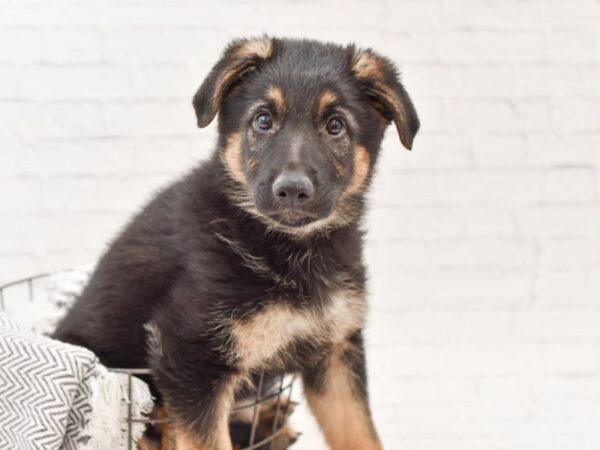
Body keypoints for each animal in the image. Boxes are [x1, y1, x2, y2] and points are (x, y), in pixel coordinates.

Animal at [54, 36, 420, 450]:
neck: (287, 249)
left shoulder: (335, 351)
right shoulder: (189, 355)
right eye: (263, 120)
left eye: (336, 126)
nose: (292, 191)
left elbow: (360, 433)